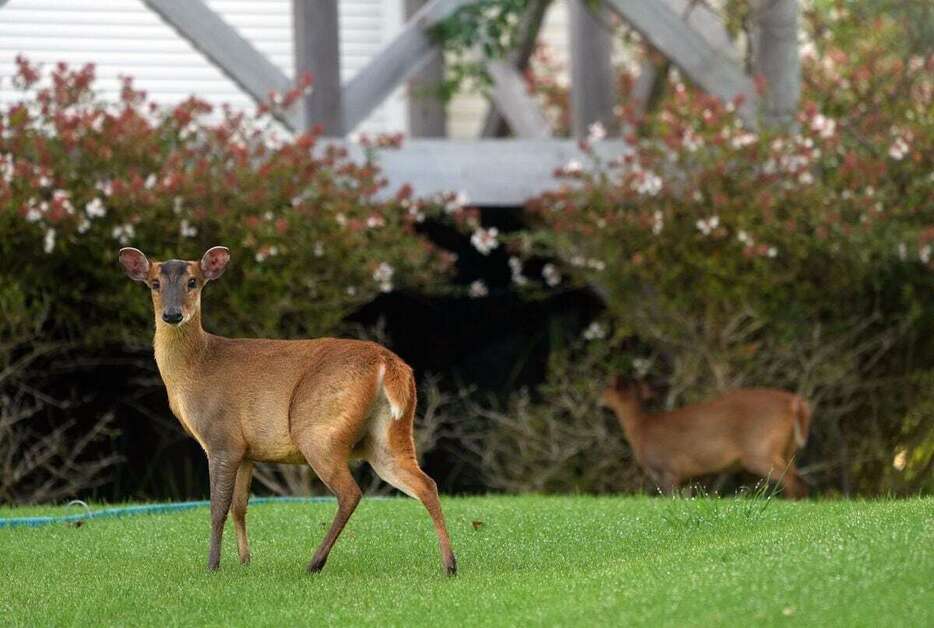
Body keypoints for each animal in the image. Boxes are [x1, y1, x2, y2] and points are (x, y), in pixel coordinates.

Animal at [118, 245, 460, 576]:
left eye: (193, 282)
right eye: (154, 284)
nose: (172, 314)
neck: (195, 367)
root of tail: (390, 364)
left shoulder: (222, 438)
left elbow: (218, 507)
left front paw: (213, 566)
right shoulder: (248, 451)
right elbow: (240, 506)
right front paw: (245, 561)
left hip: (317, 428)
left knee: (351, 492)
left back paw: (315, 563)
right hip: (388, 435)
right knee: (426, 484)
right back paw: (450, 565)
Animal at [600, 376, 812, 498]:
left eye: (608, 387)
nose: (599, 399)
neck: (641, 429)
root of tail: (795, 402)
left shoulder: (667, 469)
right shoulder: (684, 477)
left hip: (759, 448)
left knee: (793, 480)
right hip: (787, 449)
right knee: (798, 478)